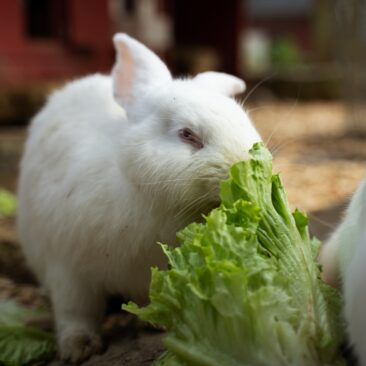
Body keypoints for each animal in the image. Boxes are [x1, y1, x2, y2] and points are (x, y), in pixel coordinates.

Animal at [16, 34, 260, 364]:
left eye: (244, 121)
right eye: (187, 134)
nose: (241, 166)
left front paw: (157, 322)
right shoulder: (68, 270)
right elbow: (75, 313)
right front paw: (78, 348)